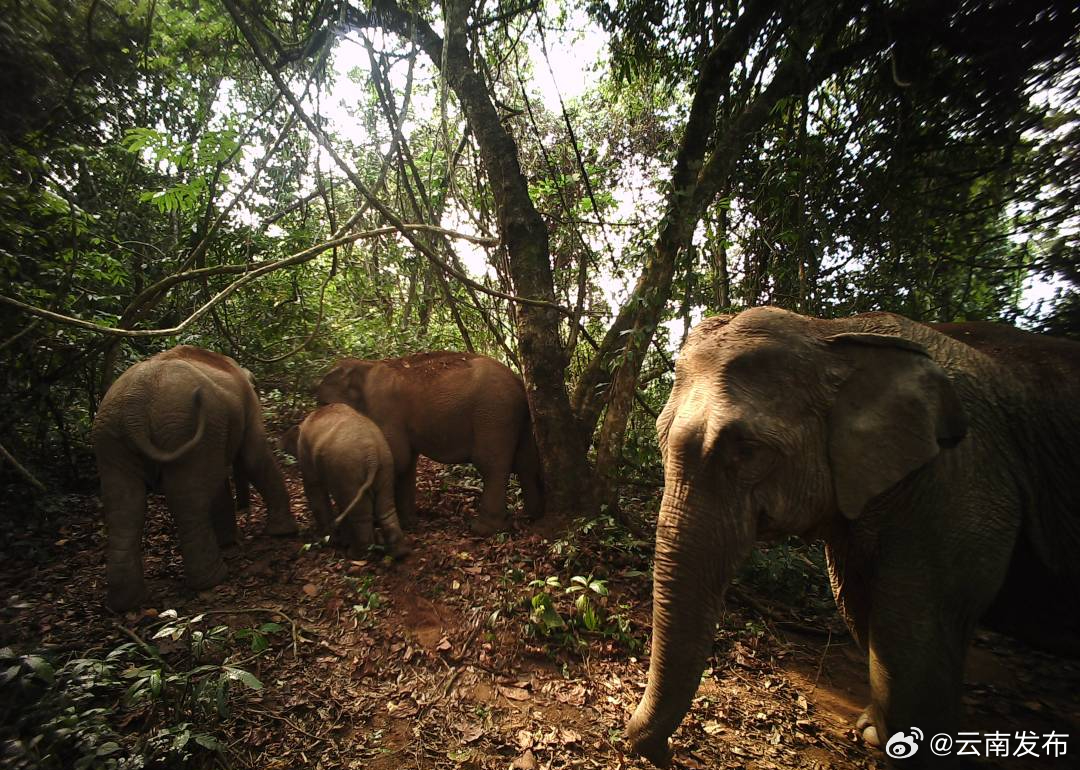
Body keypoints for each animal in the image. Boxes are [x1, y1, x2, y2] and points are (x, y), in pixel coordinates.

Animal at [93, 345, 297, 611]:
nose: (245, 507)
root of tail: (133, 405)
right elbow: (254, 457)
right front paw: (283, 533)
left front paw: (229, 542)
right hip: (184, 426)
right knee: (187, 499)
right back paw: (213, 578)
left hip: (112, 439)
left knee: (125, 507)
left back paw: (126, 602)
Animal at [280, 403, 411, 560]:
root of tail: (372, 453)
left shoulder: (305, 455)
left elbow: (314, 490)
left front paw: (331, 539)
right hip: (385, 465)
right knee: (386, 508)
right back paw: (399, 553)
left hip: (348, 469)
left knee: (360, 513)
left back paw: (356, 554)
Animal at [314, 351, 543, 536]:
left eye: (324, 404)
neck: (365, 366)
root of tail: (519, 381)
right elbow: (406, 462)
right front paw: (408, 524)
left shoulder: (384, 408)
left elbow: (396, 457)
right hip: (516, 418)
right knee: (525, 463)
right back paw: (530, 515)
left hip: (493, 414)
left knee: (491, 465)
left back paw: (482, 529)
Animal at [625, 307, 1080, 767]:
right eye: (659, 438)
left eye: (748, 450)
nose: (663, 752)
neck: (833, 333)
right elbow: (861, 607)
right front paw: (873, 732)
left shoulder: (961, 477)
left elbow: (911, 633)